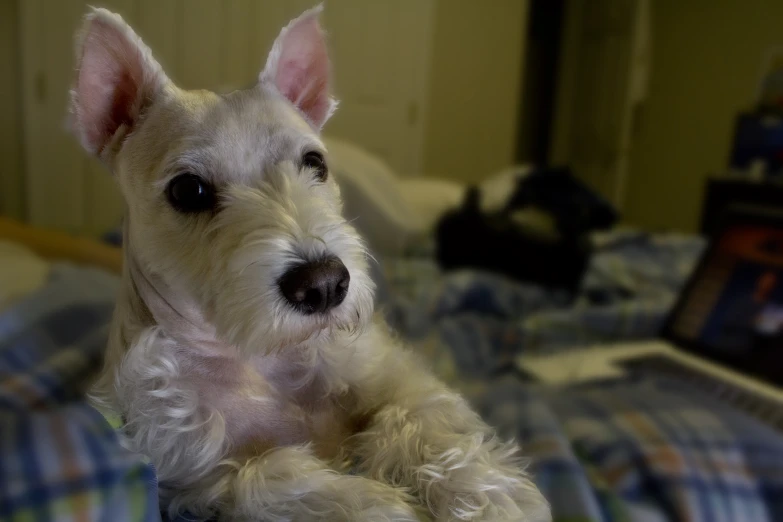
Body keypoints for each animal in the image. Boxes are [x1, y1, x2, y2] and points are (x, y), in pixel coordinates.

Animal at [72, 5, 552, 520]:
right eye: (187, 190)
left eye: (315, 162)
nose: (323, 285)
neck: (262, 359)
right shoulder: (197, 476)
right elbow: (274, 477)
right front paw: (385, 505)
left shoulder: (395, 375)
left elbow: (417, 417)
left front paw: (487, 495)